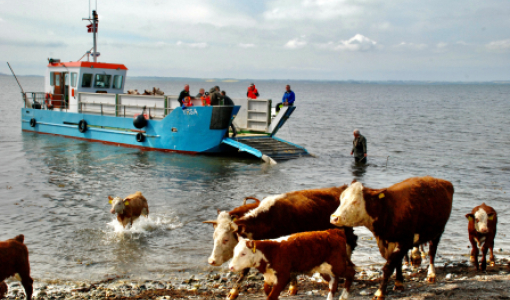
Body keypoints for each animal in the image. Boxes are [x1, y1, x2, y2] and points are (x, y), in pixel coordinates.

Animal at [204, 188, 358, 300]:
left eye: (226, 239)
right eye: (214, 236)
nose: (211, 261)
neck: (268, 219)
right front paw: (233, 293)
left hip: (345, 231)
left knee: (351, 244)